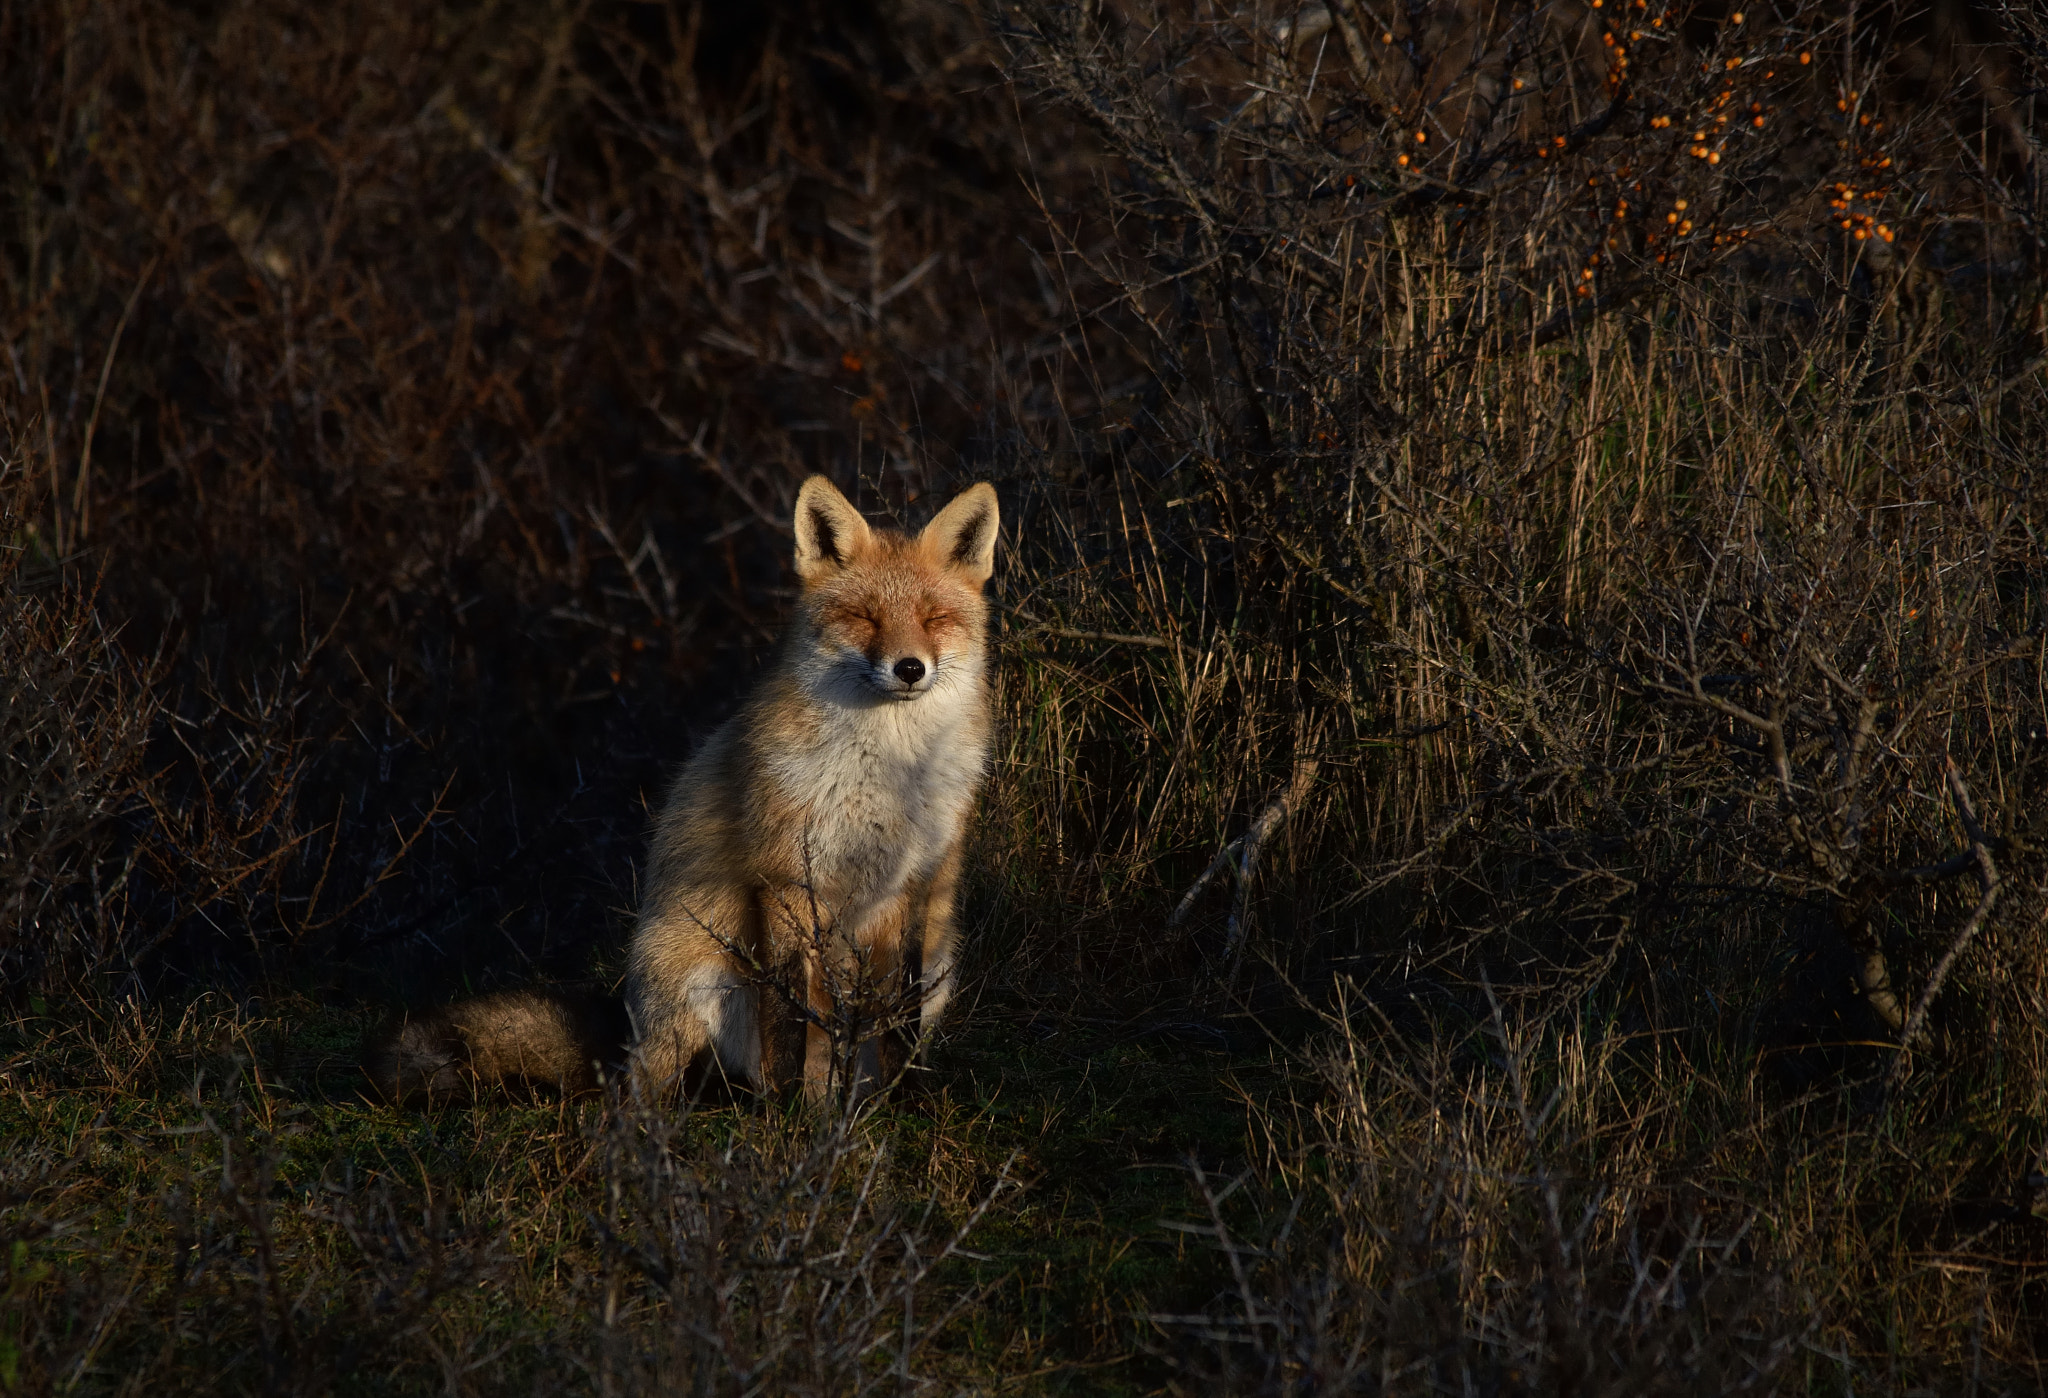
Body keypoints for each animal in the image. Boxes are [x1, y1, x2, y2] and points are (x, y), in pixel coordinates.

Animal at [370, 474, 1007, 1113]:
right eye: (864, 617)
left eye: (934, 617)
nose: (909, 668)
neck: (891, 775)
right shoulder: (784, 881)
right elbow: (787, 1019)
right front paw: (787, 1116)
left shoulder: (917, 885)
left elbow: (900, 1018)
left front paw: (905, 1104)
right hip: (700, 979)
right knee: (658, 1088)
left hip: (941, 962)